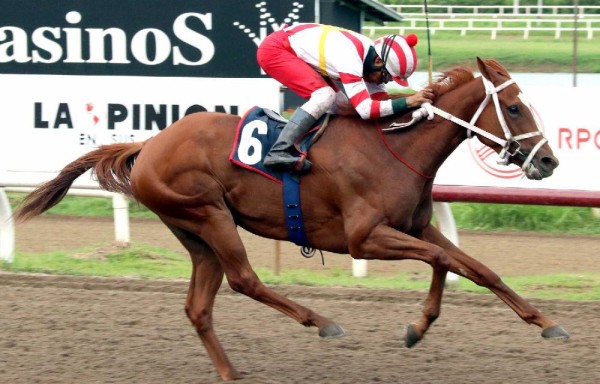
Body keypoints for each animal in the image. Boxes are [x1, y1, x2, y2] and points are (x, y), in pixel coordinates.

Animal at [14, 57, 568, 380]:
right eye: (514, 108)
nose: (547, 162)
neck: (396, 147)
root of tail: (149, 143)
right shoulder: (365, 238)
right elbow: (442, 261)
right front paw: (417, 325)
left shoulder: (414, 226)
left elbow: (473, 267)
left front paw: (545, 323)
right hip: (209, 214)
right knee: (244, 280)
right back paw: (321, 322)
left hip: (194, 233)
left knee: (199, 306)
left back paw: (232, 374)